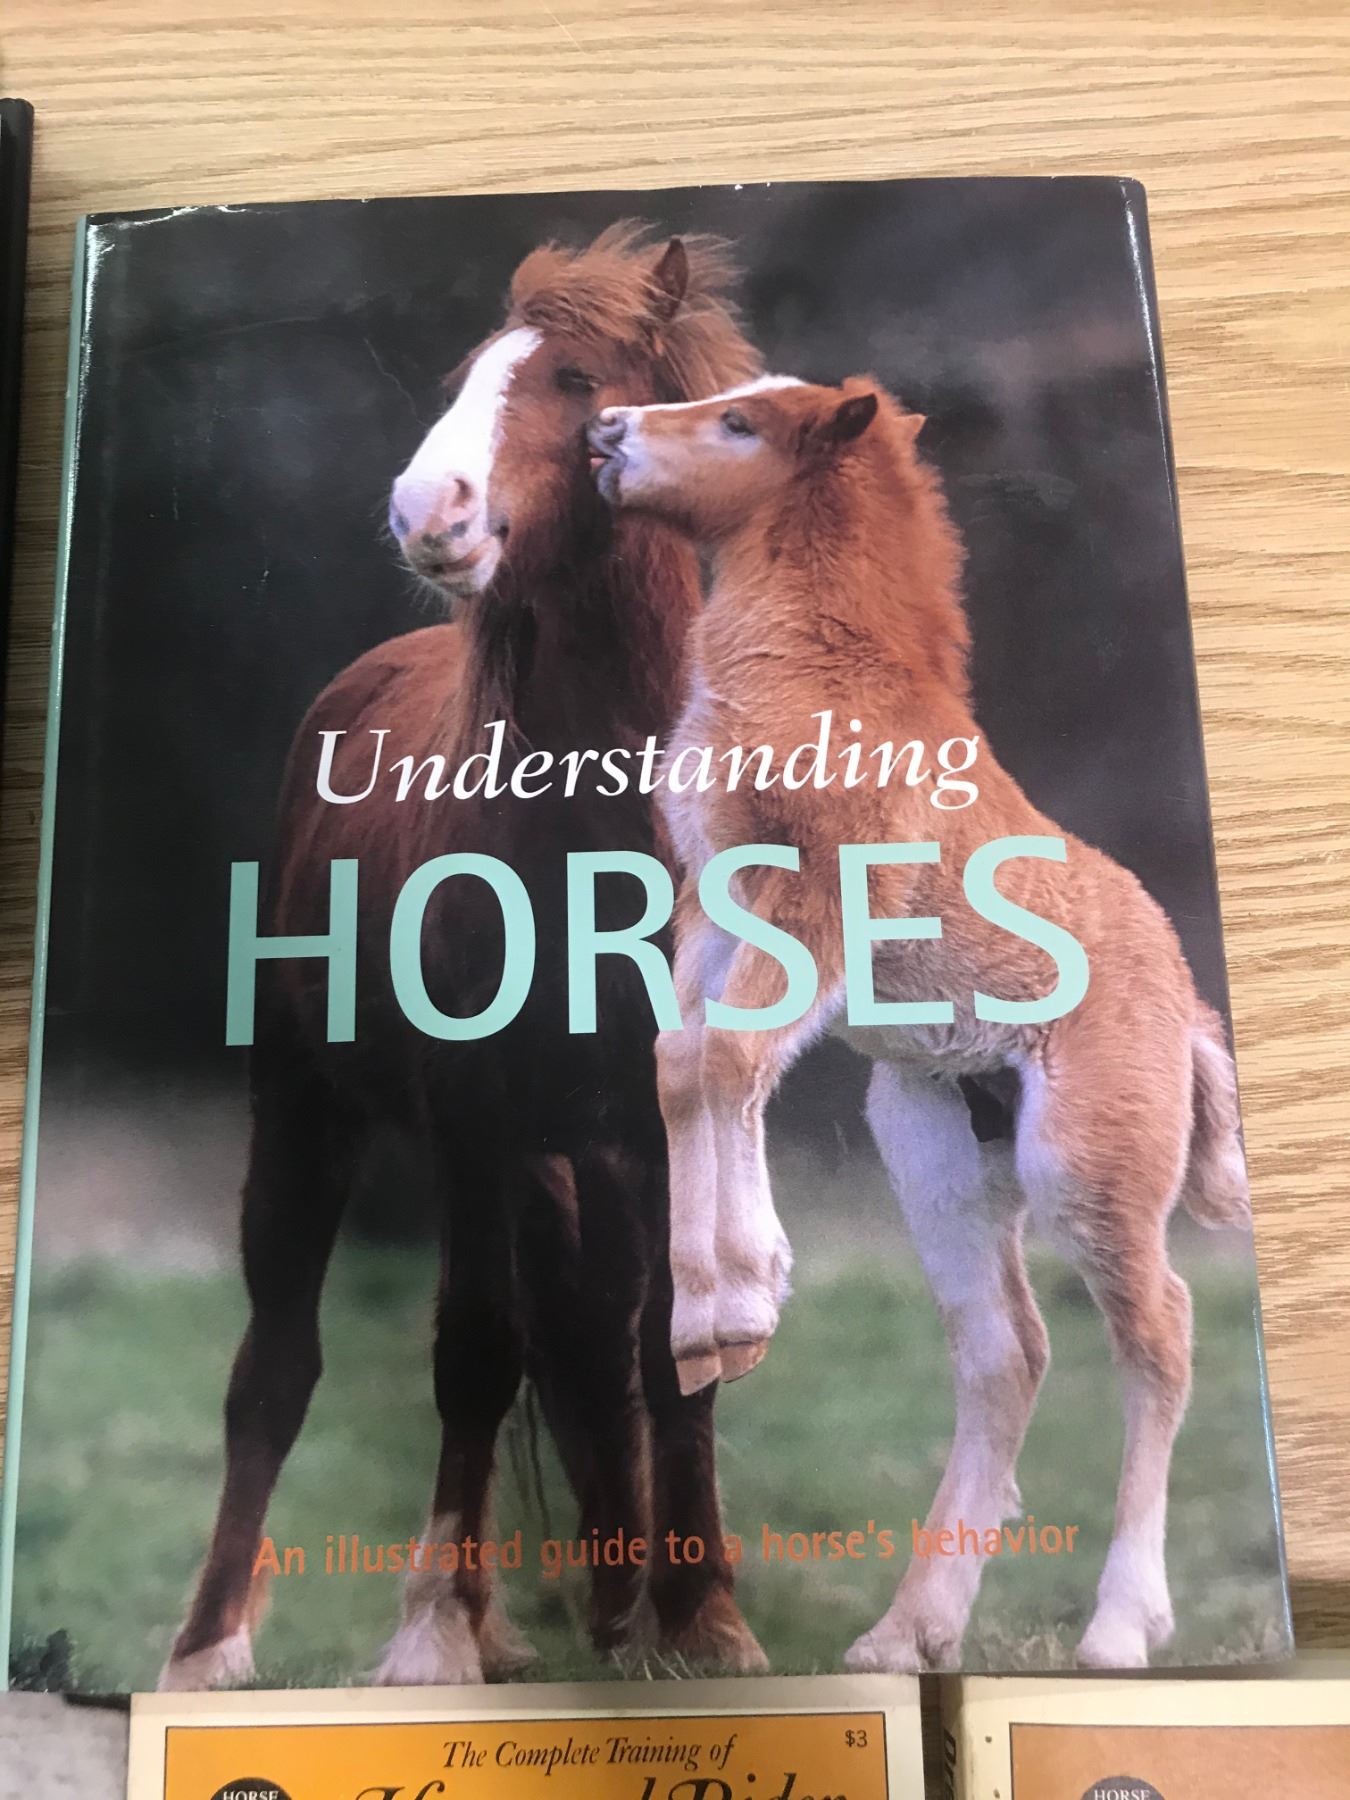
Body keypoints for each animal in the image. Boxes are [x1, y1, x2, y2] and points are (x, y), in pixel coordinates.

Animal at [160, 225, 767, 1691]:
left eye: (577, 379)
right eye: (467, 379)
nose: (424, 507)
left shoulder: (665, 1125)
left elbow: (667, 1355)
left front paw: (701, 1619)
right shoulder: (474, 1122)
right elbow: (476, 1356)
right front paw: (434, 1631)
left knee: (592, 1340)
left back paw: (600, 1605)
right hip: (307, 1112)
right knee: (276, 1368)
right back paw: (212, 1645)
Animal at [587, 375, 1251, 1672]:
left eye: (740, 425)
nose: (606, 432)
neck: (826, 674)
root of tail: (1188, 1006)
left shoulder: (813, 905)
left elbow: (726, 1059)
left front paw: (742, 1299)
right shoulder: (714, 907)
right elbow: (682, 1062)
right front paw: (707, 1323)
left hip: (1082, 1161)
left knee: (1162, 1330)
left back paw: (1121, 1624)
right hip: (934, 1146)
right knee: (1006, 1352)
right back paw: (908, 1633)